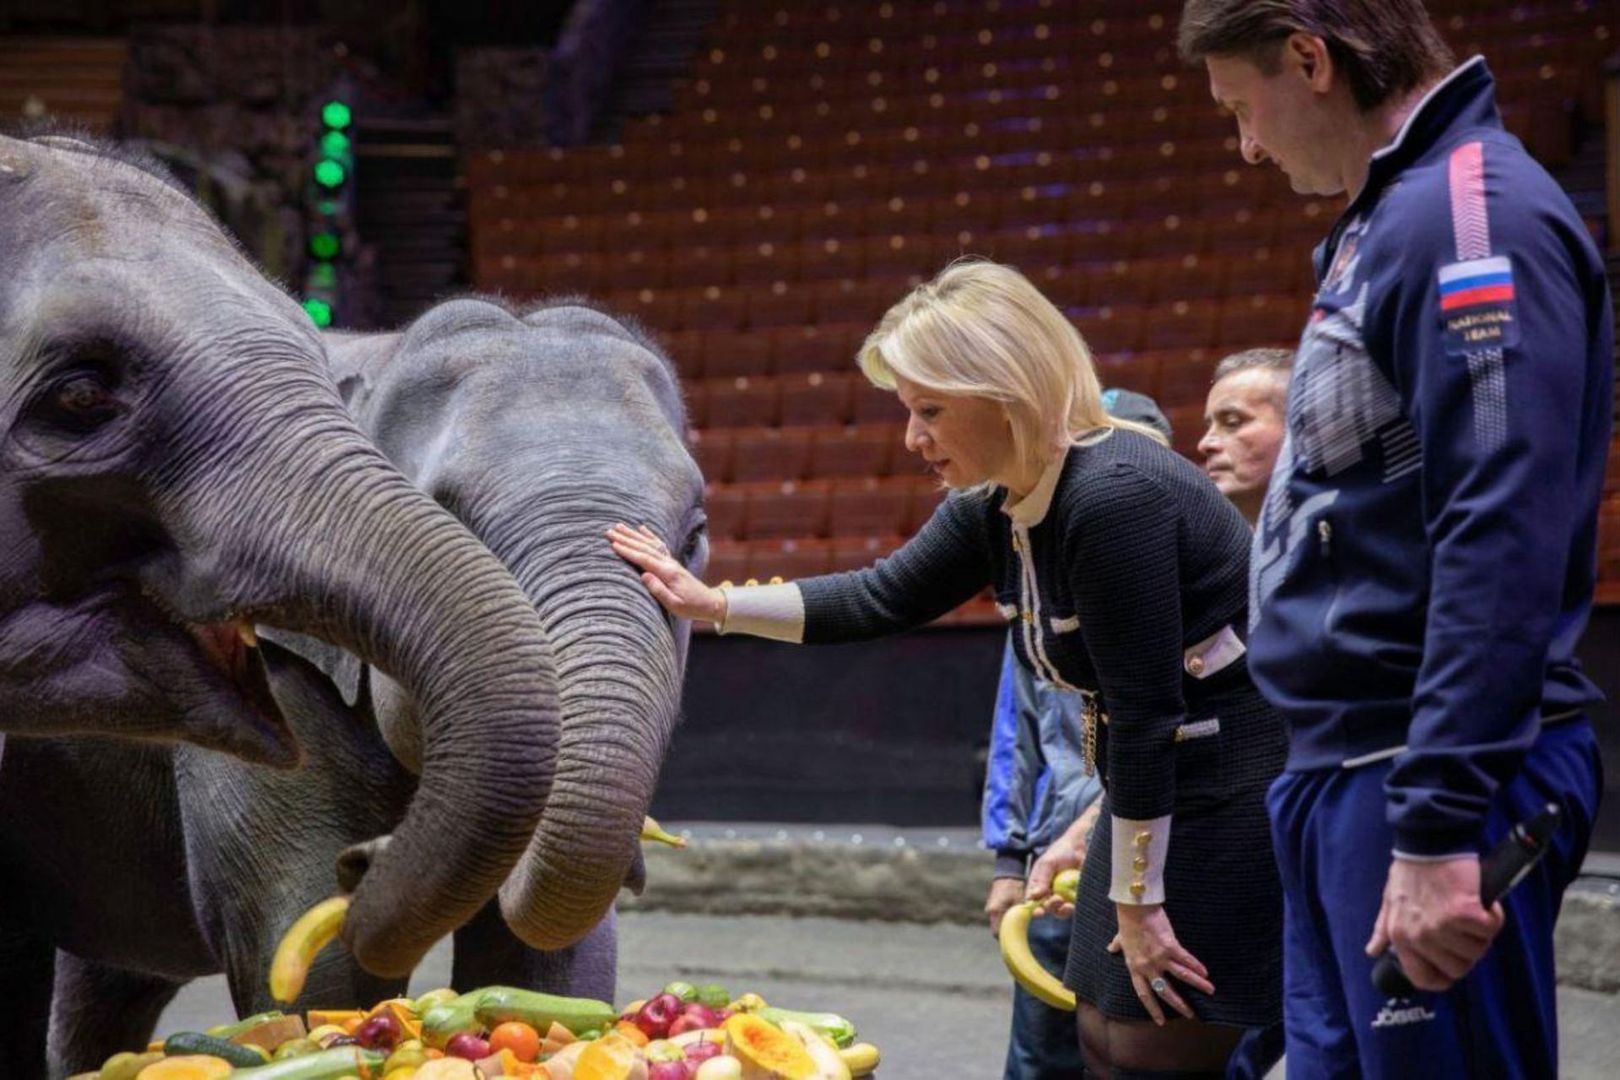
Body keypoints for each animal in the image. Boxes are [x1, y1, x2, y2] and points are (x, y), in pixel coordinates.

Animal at [6, 296, 706, 1080]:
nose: (363, 860)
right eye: (451, 517)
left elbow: (555, 962)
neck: (380, 354)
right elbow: (317, 963)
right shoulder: (279, 673)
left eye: (693, 539)